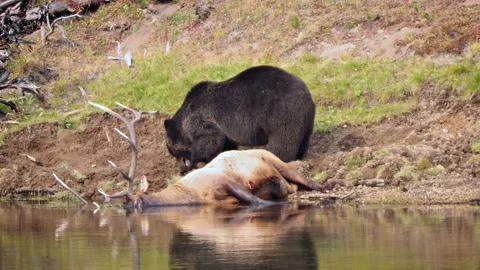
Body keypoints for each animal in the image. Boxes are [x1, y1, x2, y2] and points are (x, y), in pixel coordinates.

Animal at [163, 65, 316, 173]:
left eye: (171, 150)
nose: (181, 168)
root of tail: (305, 93)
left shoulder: (200, 117)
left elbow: (209, 139)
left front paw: (196, 162)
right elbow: (224, 146)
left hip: (280, 113)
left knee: (282, 142)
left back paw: (277, 158)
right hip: (305, 119)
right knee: (302, 139)